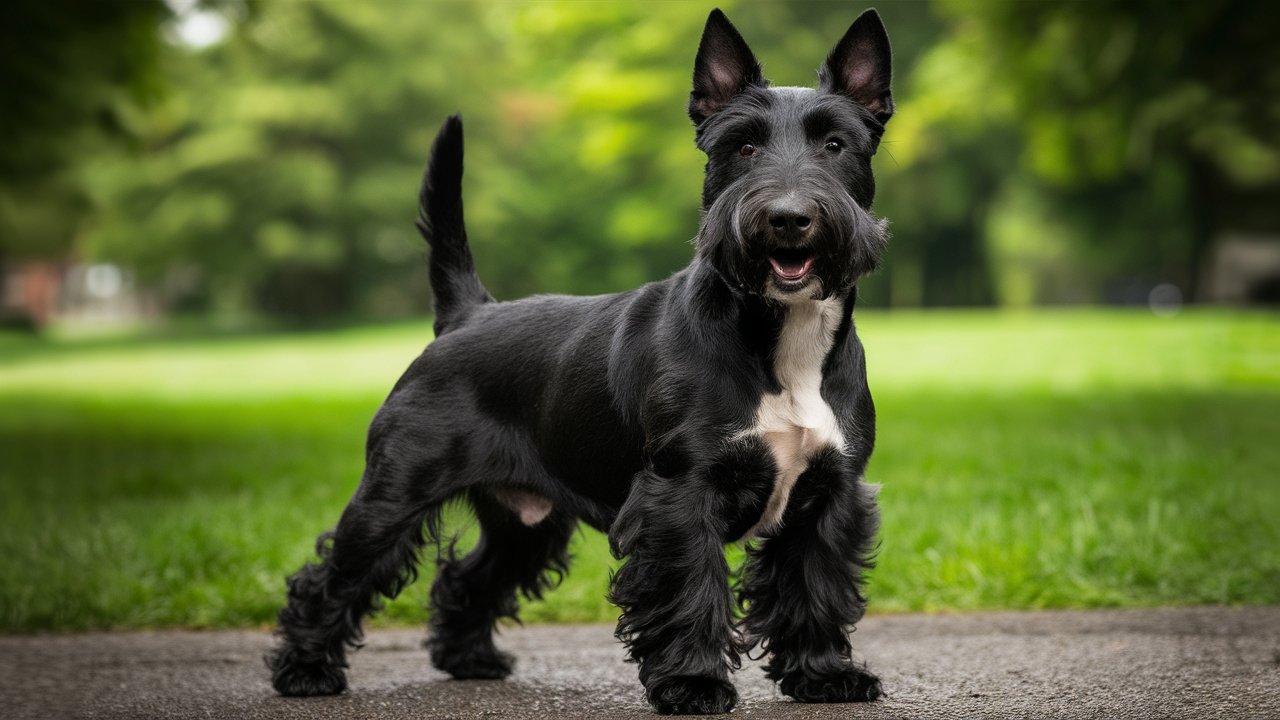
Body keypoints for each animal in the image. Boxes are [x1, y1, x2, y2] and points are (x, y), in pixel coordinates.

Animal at [270, 7, 890, 712]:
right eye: (743, 146)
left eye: (835, 144)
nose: (788, 218)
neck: (782, 341)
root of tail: (467, 314)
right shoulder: (679, 495)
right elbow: (690, 590)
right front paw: (693, 682)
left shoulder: (828, 496)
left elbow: (816, 587)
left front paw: (824, 675)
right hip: (394, 494)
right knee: (333, 576)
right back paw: (305, 670)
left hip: (525, 521)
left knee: (467, 580)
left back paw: (471, 658)